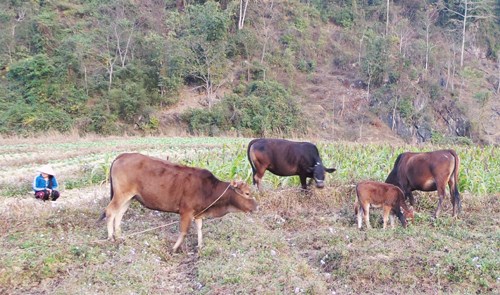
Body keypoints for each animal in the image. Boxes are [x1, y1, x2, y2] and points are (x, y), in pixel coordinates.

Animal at [100, 154, 260, 253]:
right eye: (247, 193)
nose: (257, 206)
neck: (208, 189)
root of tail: (122, 155)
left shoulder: (198, 213)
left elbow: (199, 228)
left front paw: (200, 246)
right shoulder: (186, 211)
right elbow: (183, 231)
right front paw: (174, 249)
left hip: (129, 197)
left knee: (119, 215)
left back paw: (120, 237)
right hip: (121, 194)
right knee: (110, 212)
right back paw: (111, 238)